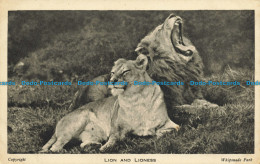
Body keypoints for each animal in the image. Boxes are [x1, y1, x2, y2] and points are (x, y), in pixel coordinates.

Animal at [40, 55, 179, 152]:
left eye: (125, 71)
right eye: (113, 72)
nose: (112, 80)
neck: (135, 97)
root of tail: (60, 121)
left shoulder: (170, 124)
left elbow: (167, 131)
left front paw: (152, 135)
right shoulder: (116, 127)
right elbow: (114, 138)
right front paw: (107, 147)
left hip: (95, 134)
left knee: (81, 143)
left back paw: (92, 145)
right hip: (78, 120)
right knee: (54, 147)